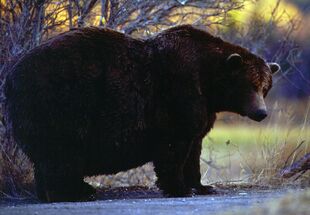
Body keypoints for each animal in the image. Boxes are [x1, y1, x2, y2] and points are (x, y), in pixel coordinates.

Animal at [3, 24, 280, 202]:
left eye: (265, 86)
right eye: (249, 85)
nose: (261, 113)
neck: (207, 80)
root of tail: (11, 75)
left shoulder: (202, 109)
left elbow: (194, 147)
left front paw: (202, 186)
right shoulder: (178, 93)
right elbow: (174, 147)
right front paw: (179, 187)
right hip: (59, 102)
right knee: (62, 153)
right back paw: (75, 191)